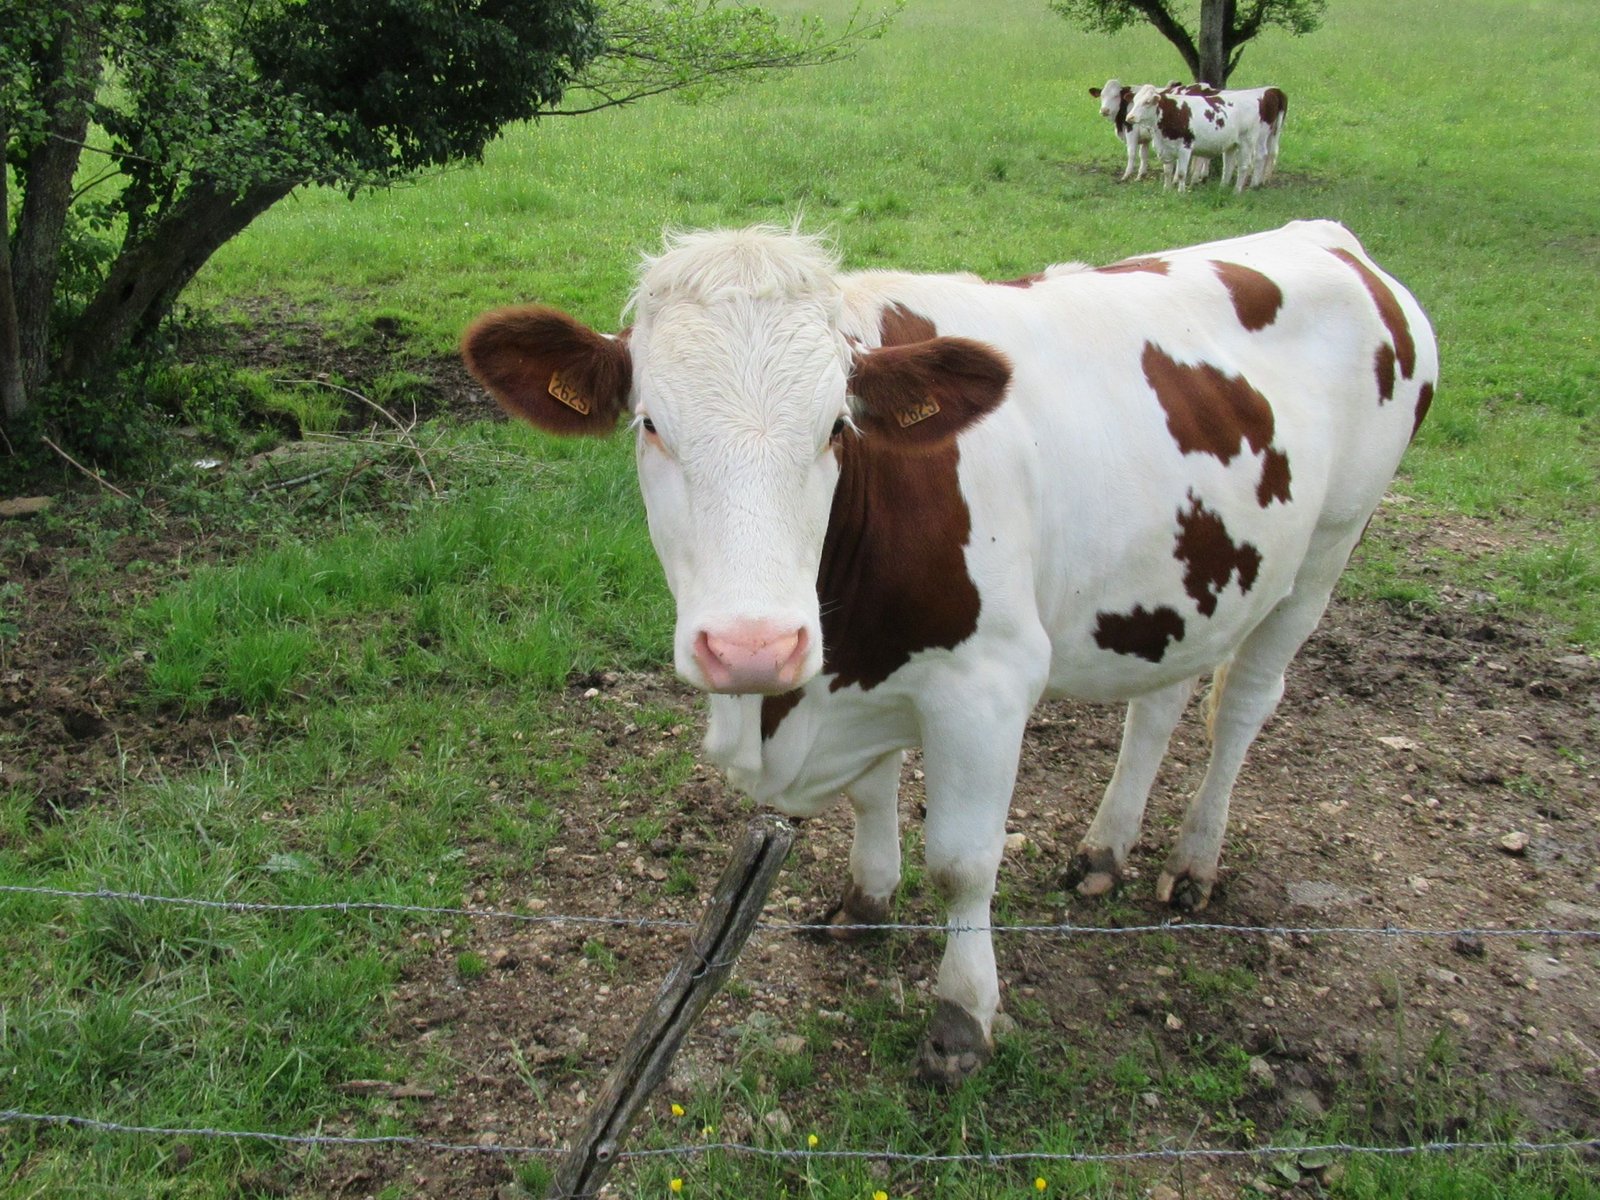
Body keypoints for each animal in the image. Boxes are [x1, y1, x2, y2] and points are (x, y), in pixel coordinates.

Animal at [461, 220, 1438, 1086]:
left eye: (837, 428)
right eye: (652, 426)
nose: (752, 647)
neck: (807, 696)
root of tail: (1324, 237)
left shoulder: (987, 685)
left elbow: (964, 865)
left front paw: (961, 1018)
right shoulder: (859, 673)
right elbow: (871, 796)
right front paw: (866, 903)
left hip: (1328, 548)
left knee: (1242, 706)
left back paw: (1194, 862)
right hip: (1185, 576)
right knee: (1158, 702)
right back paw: (1105, 851)